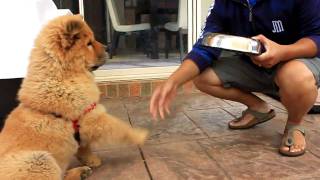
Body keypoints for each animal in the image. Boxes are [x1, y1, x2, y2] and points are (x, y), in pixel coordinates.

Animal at [0, 14, 148, 179]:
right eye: (89, 43)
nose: (108, 48)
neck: (63, 76)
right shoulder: (92, 116)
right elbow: (119, 127)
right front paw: (139, 135)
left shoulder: (84, 125)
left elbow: (84, 147)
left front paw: (92, 160)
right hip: (40, 160)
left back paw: (81, 171)